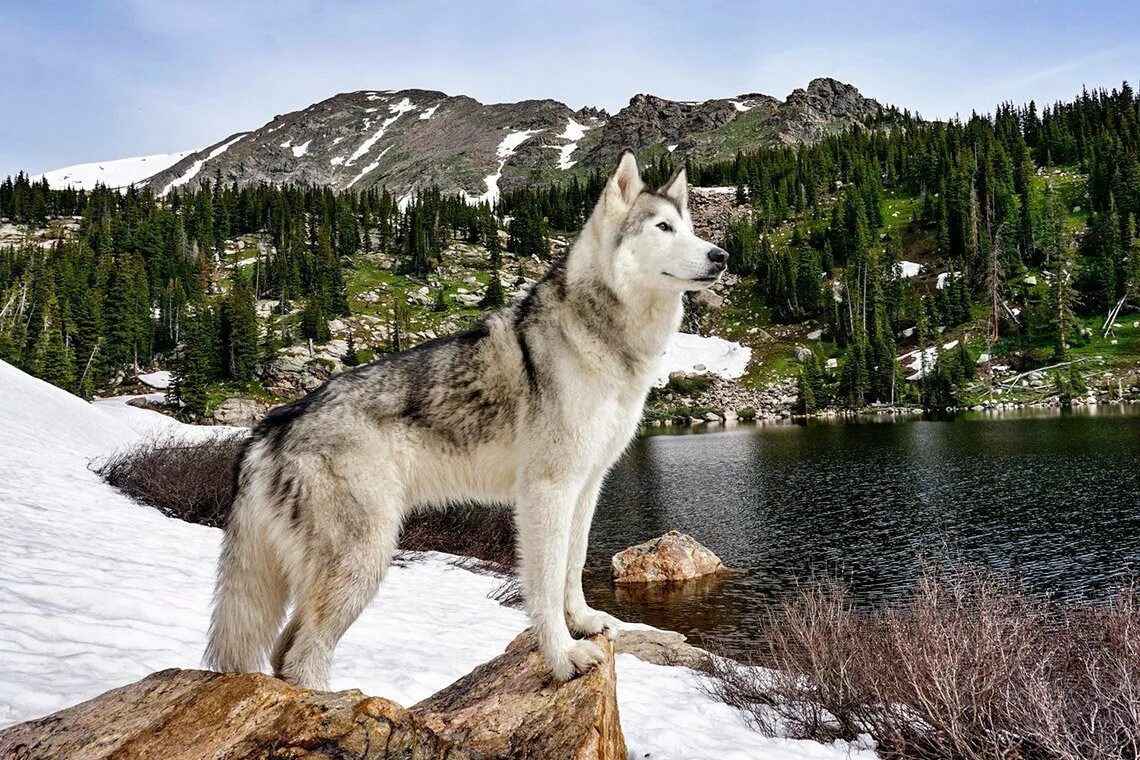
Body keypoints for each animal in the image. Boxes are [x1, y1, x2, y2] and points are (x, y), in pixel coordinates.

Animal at [206, 151, 729, 688]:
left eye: (690, 228)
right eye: (663, 227)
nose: (721, 256)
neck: (608, 341)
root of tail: (272, 425)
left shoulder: (587, 485)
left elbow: (574, 563)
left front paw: (583, 622)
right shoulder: (547, 489)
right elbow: (544, 584)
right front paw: (563, 656)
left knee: (284, 651)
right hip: (364, 558)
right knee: (302, 655)